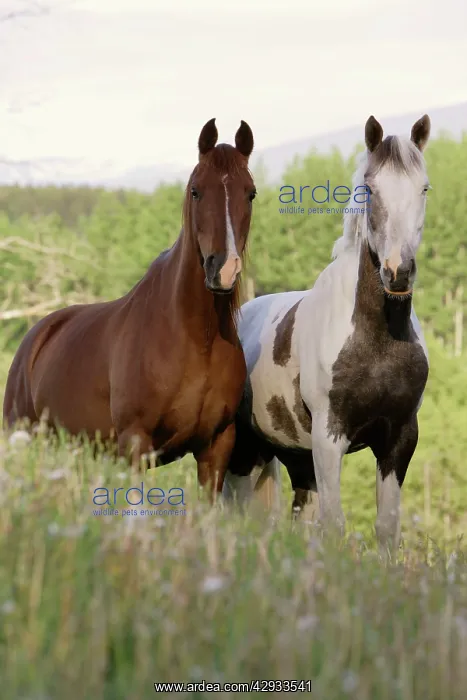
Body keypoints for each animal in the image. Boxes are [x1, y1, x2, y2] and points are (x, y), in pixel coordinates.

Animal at [3, 118, 257, 500]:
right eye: (196, 191)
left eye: (250, 193)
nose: (223, 269)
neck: (195, 339)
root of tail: (36, 335)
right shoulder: (135, 444)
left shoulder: (216, 446)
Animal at [222, 114, 431, 554]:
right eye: (370, 188)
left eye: (423, 187)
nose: (397, 272)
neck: (376, 339)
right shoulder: (329, 437)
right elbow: (335, 525)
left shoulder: (400, 437)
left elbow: (386, 527)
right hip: (244, 455)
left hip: (296, 461)